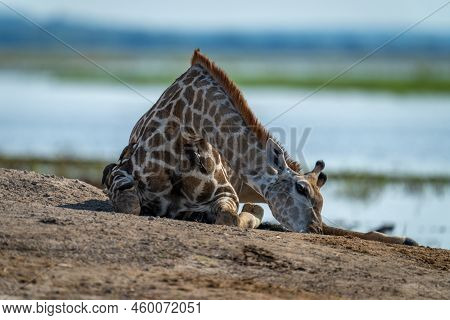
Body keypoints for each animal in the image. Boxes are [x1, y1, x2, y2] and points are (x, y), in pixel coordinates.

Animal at [103, 48, 418, 246]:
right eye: (301, 189)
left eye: (321, 200)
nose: (313, 230)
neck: (185, 127)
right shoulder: (117, 171)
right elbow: (130, 203)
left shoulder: (227, 192)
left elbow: (231, 217)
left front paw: (250, 213)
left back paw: (407, 239)